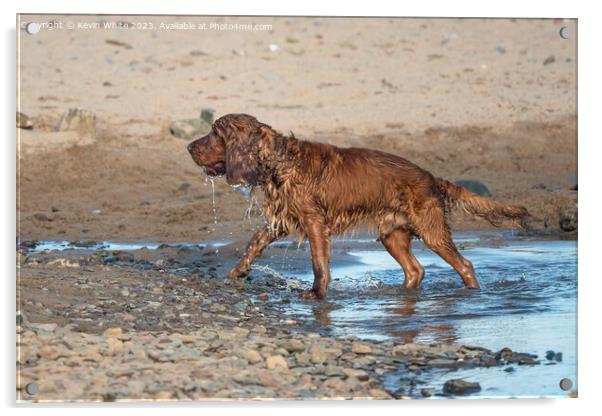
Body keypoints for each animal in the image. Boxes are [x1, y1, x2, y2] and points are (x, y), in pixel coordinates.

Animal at [186, 114, 524, 300]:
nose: (188, 146)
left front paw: (316, 295)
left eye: (215, 133)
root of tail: (431, 177)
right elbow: (255, 241)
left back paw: (472, 295)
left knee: (464, 264)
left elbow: (319, 264)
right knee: (415, 270)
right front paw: (238, 271)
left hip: (432, 231)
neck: (280, 162)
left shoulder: (314, 222)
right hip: (392, 234)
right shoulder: (284, 219)